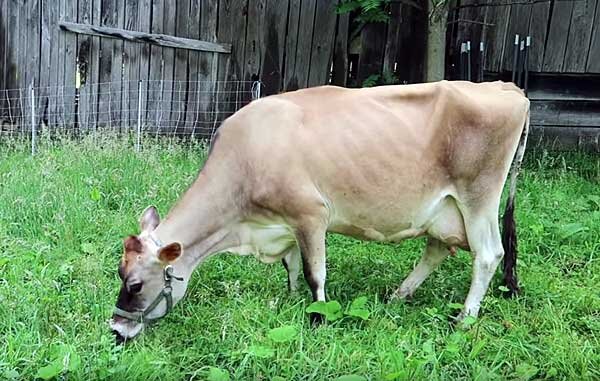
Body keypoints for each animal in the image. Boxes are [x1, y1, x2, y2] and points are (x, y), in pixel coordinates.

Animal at [109, 80, 528, 342]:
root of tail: (507, 88)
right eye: (120, 273)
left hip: (478, 197)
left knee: (488, 254)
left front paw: (318, 316)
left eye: (136, 285)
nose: (116, 329)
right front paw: (292, 299)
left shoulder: (311, 214)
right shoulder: (284, 223)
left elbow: (315, 273)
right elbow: (293, 266)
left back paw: (464, 318)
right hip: (443, 210)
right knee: (438, 248)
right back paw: (398, 296)